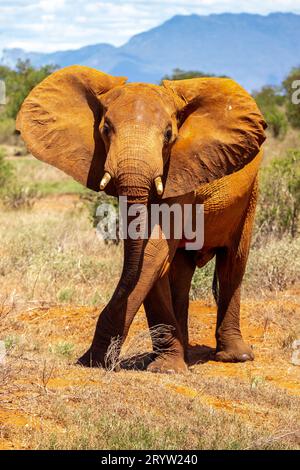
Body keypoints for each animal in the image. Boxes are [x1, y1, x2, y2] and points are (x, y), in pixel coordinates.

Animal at [16, 67, 266, 374]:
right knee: (180, 272)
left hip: (250, 195)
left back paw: (235, 357)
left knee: (233, 263)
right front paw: (163, 366)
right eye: (105, 129)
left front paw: (107, 362)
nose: (88, 359)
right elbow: (148, 259)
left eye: (169, 134)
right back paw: (186, 354)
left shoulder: (180, 172)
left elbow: (152, 253)